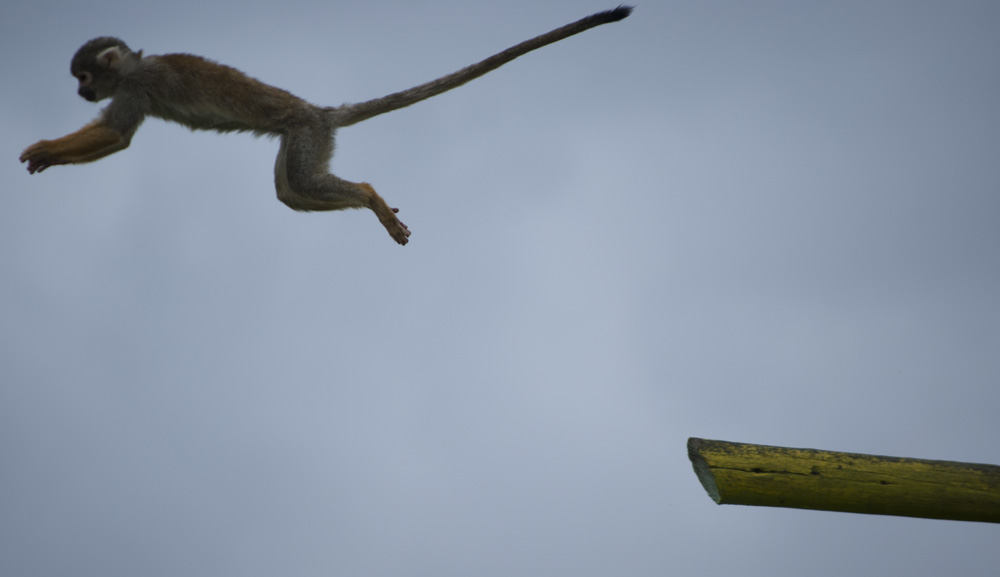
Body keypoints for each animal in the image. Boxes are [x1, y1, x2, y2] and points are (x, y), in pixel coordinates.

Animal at [20, 6, 633, 245]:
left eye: (85, 78)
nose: (80, 92)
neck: (132, 69)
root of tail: (320, 110)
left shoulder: (137, 88)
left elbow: (118, 134)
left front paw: (44, 149)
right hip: (305, 137)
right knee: (291, 192)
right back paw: (366, 202)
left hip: (306, 133)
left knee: (302, 182)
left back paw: (369, 195)